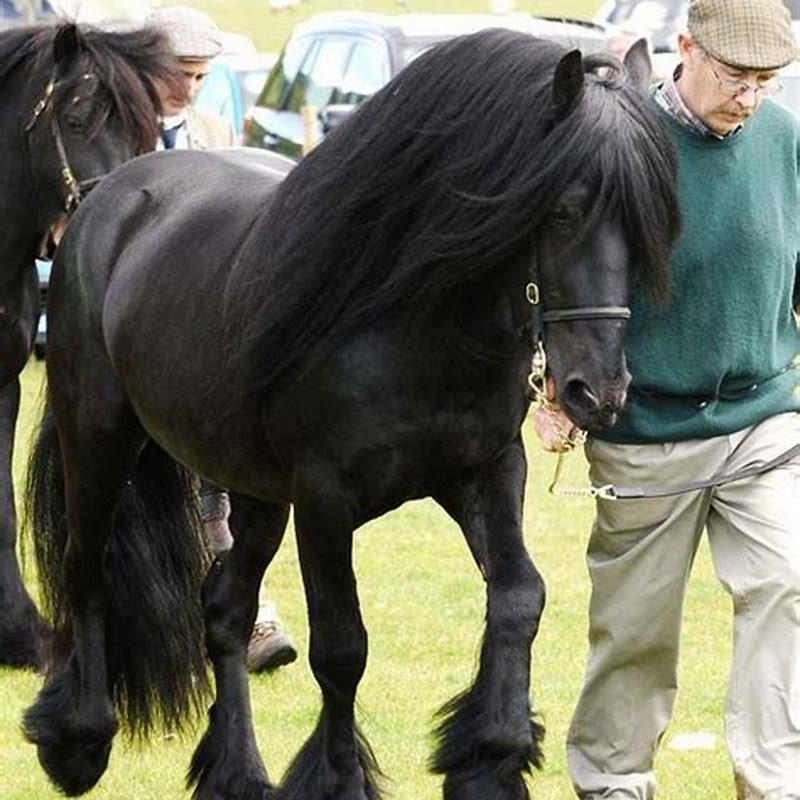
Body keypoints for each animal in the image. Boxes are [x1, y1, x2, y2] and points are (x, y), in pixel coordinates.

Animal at [24, 30, 680, 800]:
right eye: (562, 213)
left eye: (648, 223)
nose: (596, 391)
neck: (417, 324)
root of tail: (108, 197)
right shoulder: (325, 501)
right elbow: (342, 648)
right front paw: (338, 779)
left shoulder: (484, 471)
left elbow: (521, 596)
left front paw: (492, 757)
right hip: (98, 437)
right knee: (86, 569)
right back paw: (78, 740)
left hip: (251, 488)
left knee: (224, 609)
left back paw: (237, 773)